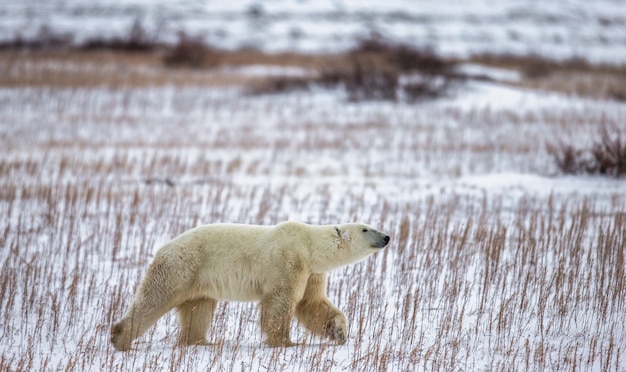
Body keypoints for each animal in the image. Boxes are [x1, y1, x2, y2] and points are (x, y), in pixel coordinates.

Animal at [109, 222, 388, 350]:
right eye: (366, 228)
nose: (386, 236)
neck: (308, 246)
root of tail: (162, 248)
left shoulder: (312, 273)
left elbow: (313, 305)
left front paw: (339, 332)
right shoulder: (288, 262)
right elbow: (281, 302)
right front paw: (286, 342)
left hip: (198, 281)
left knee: (198, 309)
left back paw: (202, 342)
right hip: (181, 268)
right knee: (154, 300)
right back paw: (120, 338)